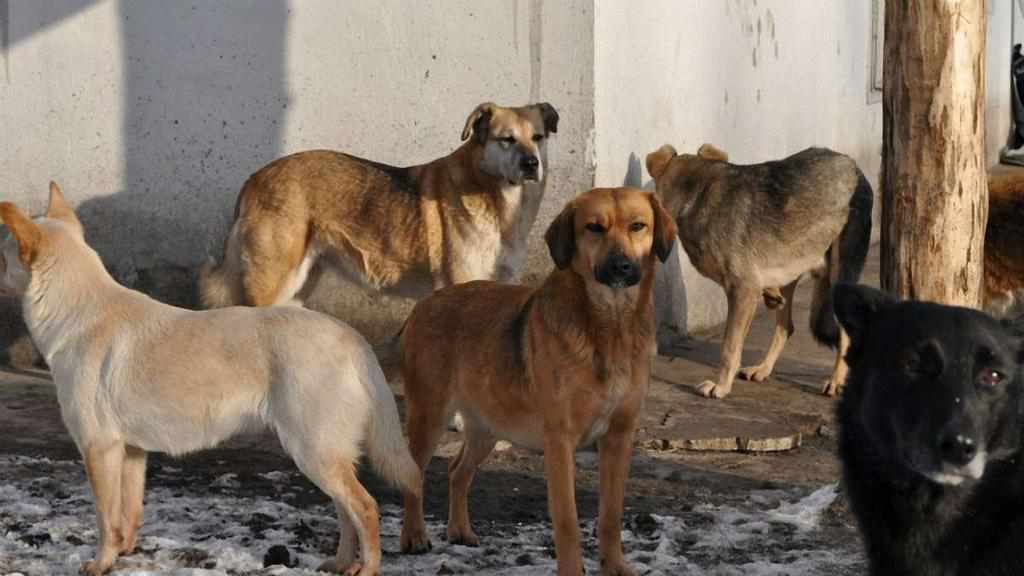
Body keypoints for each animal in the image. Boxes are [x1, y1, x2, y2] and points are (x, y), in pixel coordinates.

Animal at [0, 184, 421, 573]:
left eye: (2, 256)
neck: (80, 311)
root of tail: (350, 336)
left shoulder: (98, 448)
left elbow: (106, 520)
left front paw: (101, 563)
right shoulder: (132, 452)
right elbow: (129, 516)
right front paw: (126, 555)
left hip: (314, 451)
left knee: (365, 508)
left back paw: (368, 568)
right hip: (324, 455)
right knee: (345, 511)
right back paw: (340, 563)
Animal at [395, 186, 675, 569]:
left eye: (638, 226)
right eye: (593, 228)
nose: (622, 266)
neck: (610, 326)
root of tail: (425, 303)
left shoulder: (619, 437)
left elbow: (611, 516)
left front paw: (616, 568)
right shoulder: (560, 441)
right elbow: (567, 521)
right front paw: (572, 570)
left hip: (488, 425)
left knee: (456, 471)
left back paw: (460, 531)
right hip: (430, 416)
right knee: (415, 475)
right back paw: (414, 537)